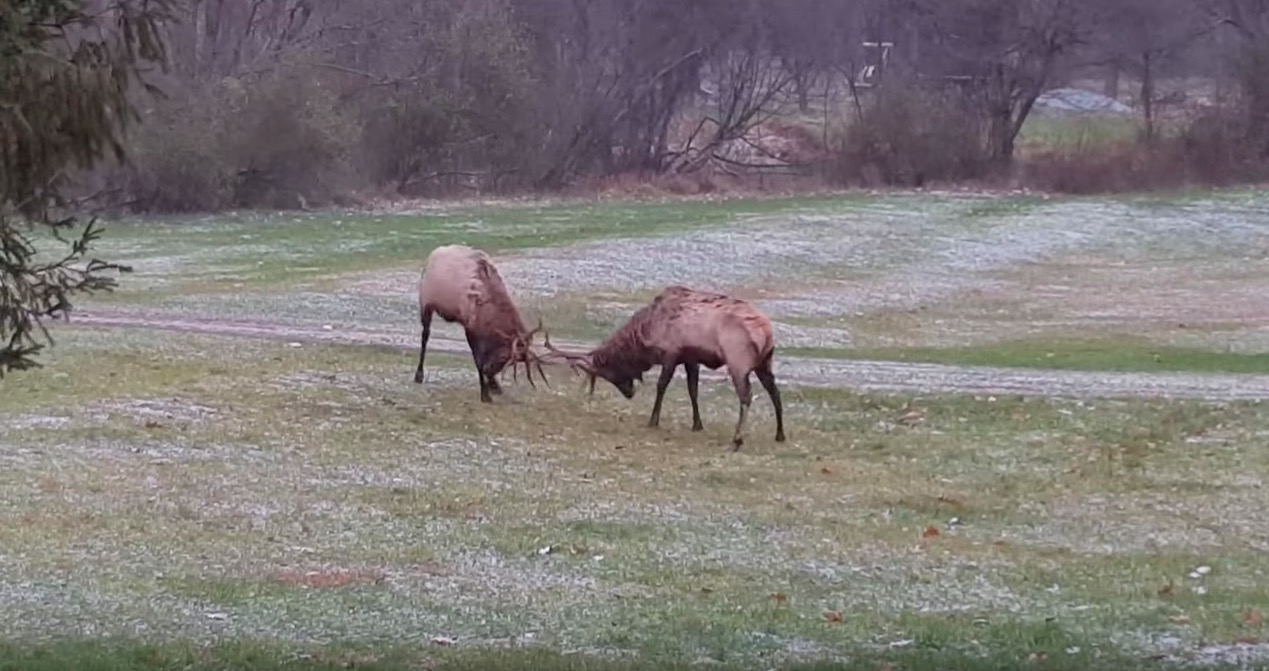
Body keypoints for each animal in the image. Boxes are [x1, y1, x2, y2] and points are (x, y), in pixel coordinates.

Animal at [413, 244, 549, 403]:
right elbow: (478, 359)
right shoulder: (471, 326)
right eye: (505, 357)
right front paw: (485, 394)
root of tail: (432, 255)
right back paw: (419, 375)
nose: (488, 370)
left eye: (508, 361)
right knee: (425, 336)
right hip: (425, 303)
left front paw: (494, 386)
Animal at [543, 285, 786, 450]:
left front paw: (653, 420)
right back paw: (780, 434)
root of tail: (766, 331)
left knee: (746, 396)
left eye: (609, 372)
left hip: (738, 361)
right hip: (765, 361)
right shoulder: (690, 358)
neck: (645, 333)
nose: (629, 393)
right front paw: (697, 424)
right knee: (774, 392)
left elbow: (662, 386)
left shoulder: (671, 353)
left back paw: (737, 438)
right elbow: (693, 390)